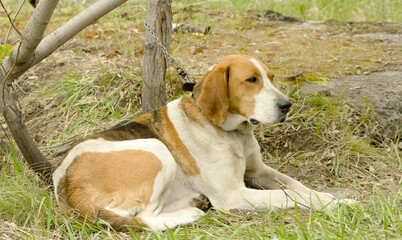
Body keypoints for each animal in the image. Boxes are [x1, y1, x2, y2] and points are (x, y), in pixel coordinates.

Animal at [52, 55, 342, 232]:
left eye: (271, 77)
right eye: (251, 80)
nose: (286, 106)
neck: (231, 133)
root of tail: (65, 181)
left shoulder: (258, 171)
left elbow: (295, 185)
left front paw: (326, 196)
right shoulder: (233, 195)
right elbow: (287, 195)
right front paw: (335, 203)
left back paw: (194, 202)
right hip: (157, 151)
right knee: (142, 217)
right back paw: (190, 213)